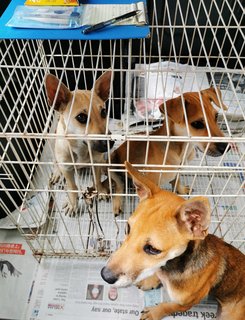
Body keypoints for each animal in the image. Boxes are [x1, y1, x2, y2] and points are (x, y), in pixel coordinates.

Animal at [45, 70, 114, 215]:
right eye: (81, 117)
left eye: (104, 111)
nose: (110, 143)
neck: (81, 148)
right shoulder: (67, 169)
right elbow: (72, 187)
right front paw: (73, 204)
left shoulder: (96, 162)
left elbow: (97, 179)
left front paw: (101, 190)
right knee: (56, 162)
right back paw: (57, 173)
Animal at [101, 162, 245, 320]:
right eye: (127, 228)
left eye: (153, 249)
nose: (105, 276)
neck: (171, 267)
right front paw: (150, 280)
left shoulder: (185, 303)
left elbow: (168, 306)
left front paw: (154, 312)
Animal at [110, 87, 231, 216]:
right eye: (197, 123)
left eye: (216, 116)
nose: (227, 147)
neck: (182, 149)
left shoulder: (178, 169)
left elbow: (176, 180)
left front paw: (181, 190)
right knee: (119, 186)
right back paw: (117, 203)